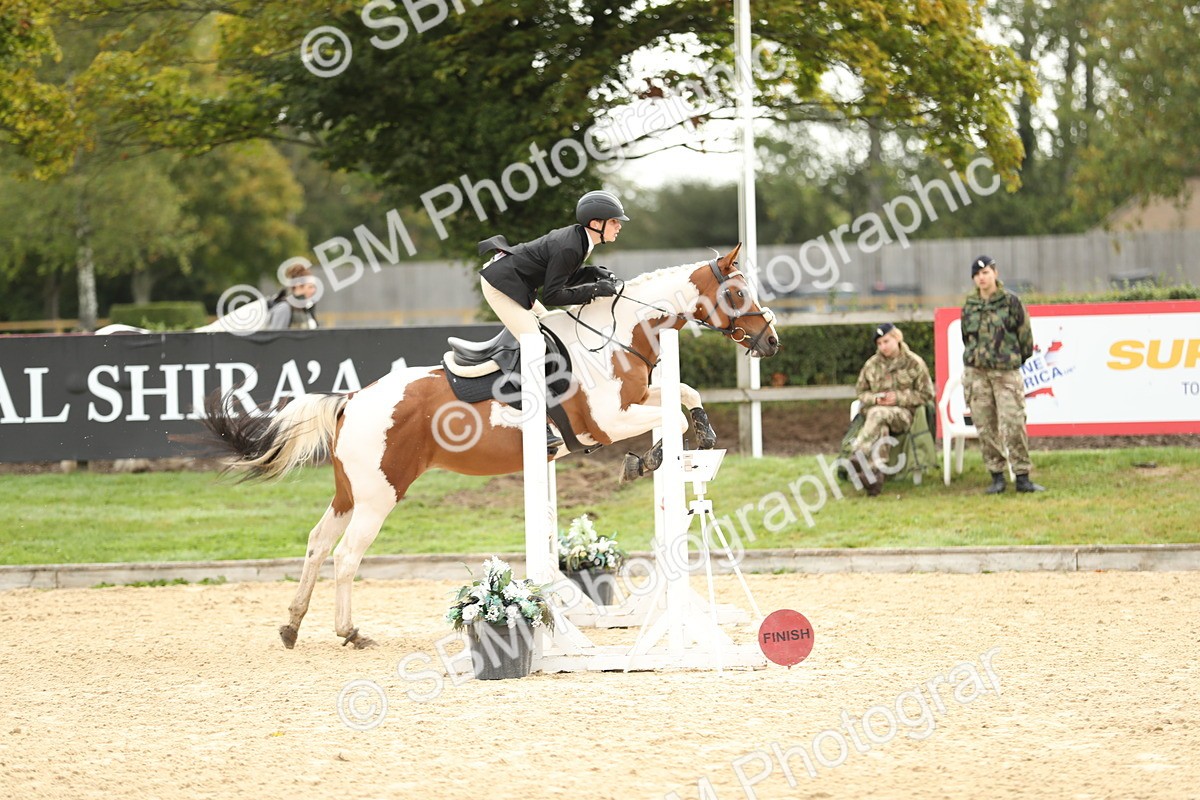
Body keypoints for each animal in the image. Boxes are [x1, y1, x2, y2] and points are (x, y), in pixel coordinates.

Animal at [202, 243, 779, 649]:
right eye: (737, 294)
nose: (771, 341)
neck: (617, 335)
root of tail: (352, 400)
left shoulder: (638, 397)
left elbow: (685, 394)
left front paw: (700, 435)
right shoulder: (608, 421)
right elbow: (666, 418)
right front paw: (647, 459)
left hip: (351, 493)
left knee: (317, 543)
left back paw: (292, 626)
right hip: (379, 496)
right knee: (345, 556)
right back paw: (350, 632)